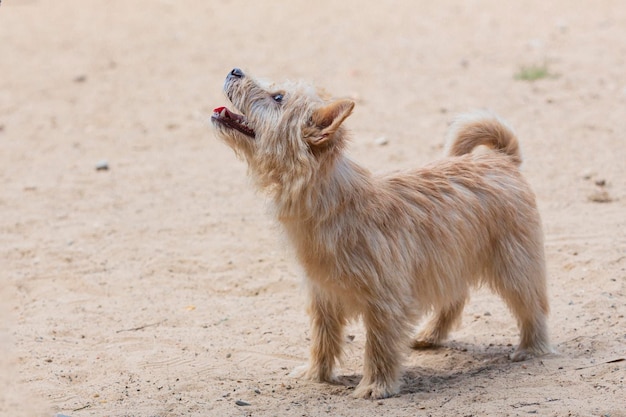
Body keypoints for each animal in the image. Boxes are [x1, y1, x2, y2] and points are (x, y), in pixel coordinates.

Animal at [211, 67, 552, 396]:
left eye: (278, 97)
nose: (235, 70)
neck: (333, 204)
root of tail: (502, 159)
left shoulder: (384, 300)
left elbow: (379, 345)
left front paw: (376, 386)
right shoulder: (322, 296)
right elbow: (322, 339)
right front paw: (315, 375)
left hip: (514, 266)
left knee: (532, 305)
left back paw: (531, 348)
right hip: (451, 262)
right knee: (455, 299)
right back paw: (431, 335)